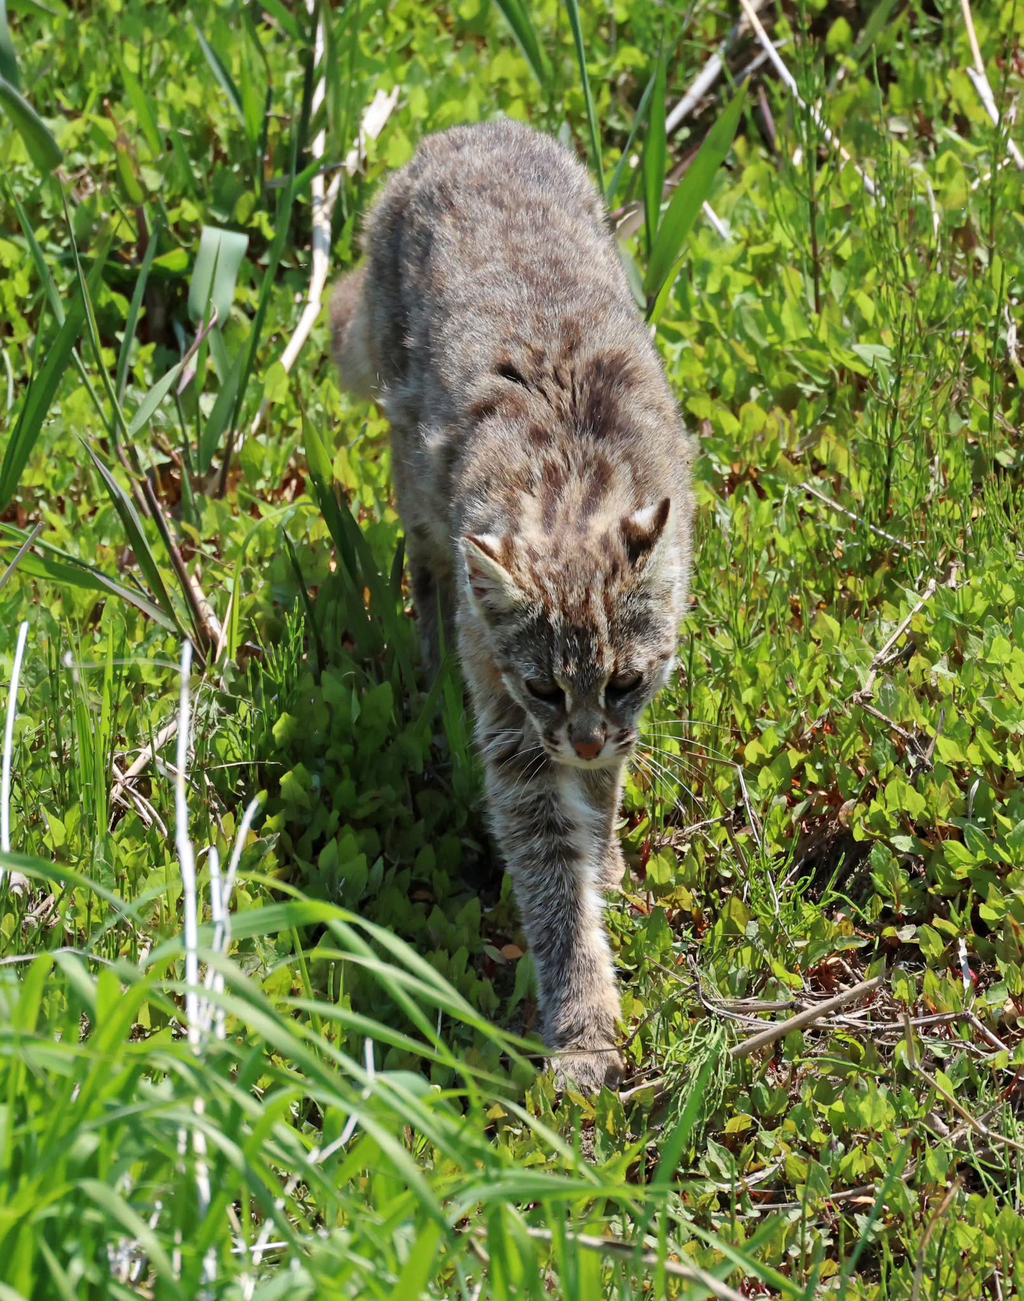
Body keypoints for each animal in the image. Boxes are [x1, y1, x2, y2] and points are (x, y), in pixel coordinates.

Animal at [329, 119, 695, 1093]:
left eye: (623, 681)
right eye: (542, 688)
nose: (584, 738)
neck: (570, 492)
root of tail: (470, 129)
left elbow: (600, 805)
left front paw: (607, 857)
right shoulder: (512, 734)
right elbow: (551, 881)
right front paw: (583, 1026)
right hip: (412, 472)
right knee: (425, 568)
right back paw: (425, 670)